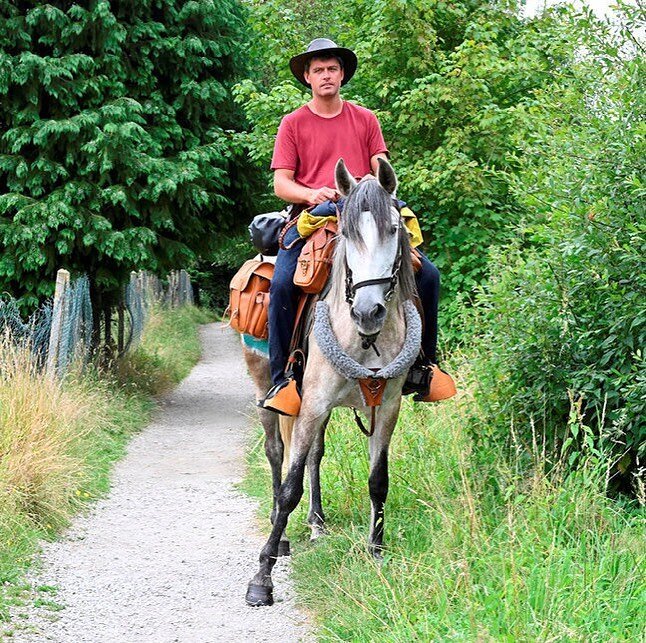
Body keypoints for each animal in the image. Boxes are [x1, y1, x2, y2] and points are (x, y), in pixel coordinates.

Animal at [242, 157, 420, 608]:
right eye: (347, 233)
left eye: (395, 228)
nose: (369, 312)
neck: (364, 339)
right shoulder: (314, 403)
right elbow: (290, 486)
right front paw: (262, 576)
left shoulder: (387, 407)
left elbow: (378, 480)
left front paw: (376, 550)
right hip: (266, 391)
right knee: (277, 453)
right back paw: (281, 530)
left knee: (315, 456)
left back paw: (317, 522)